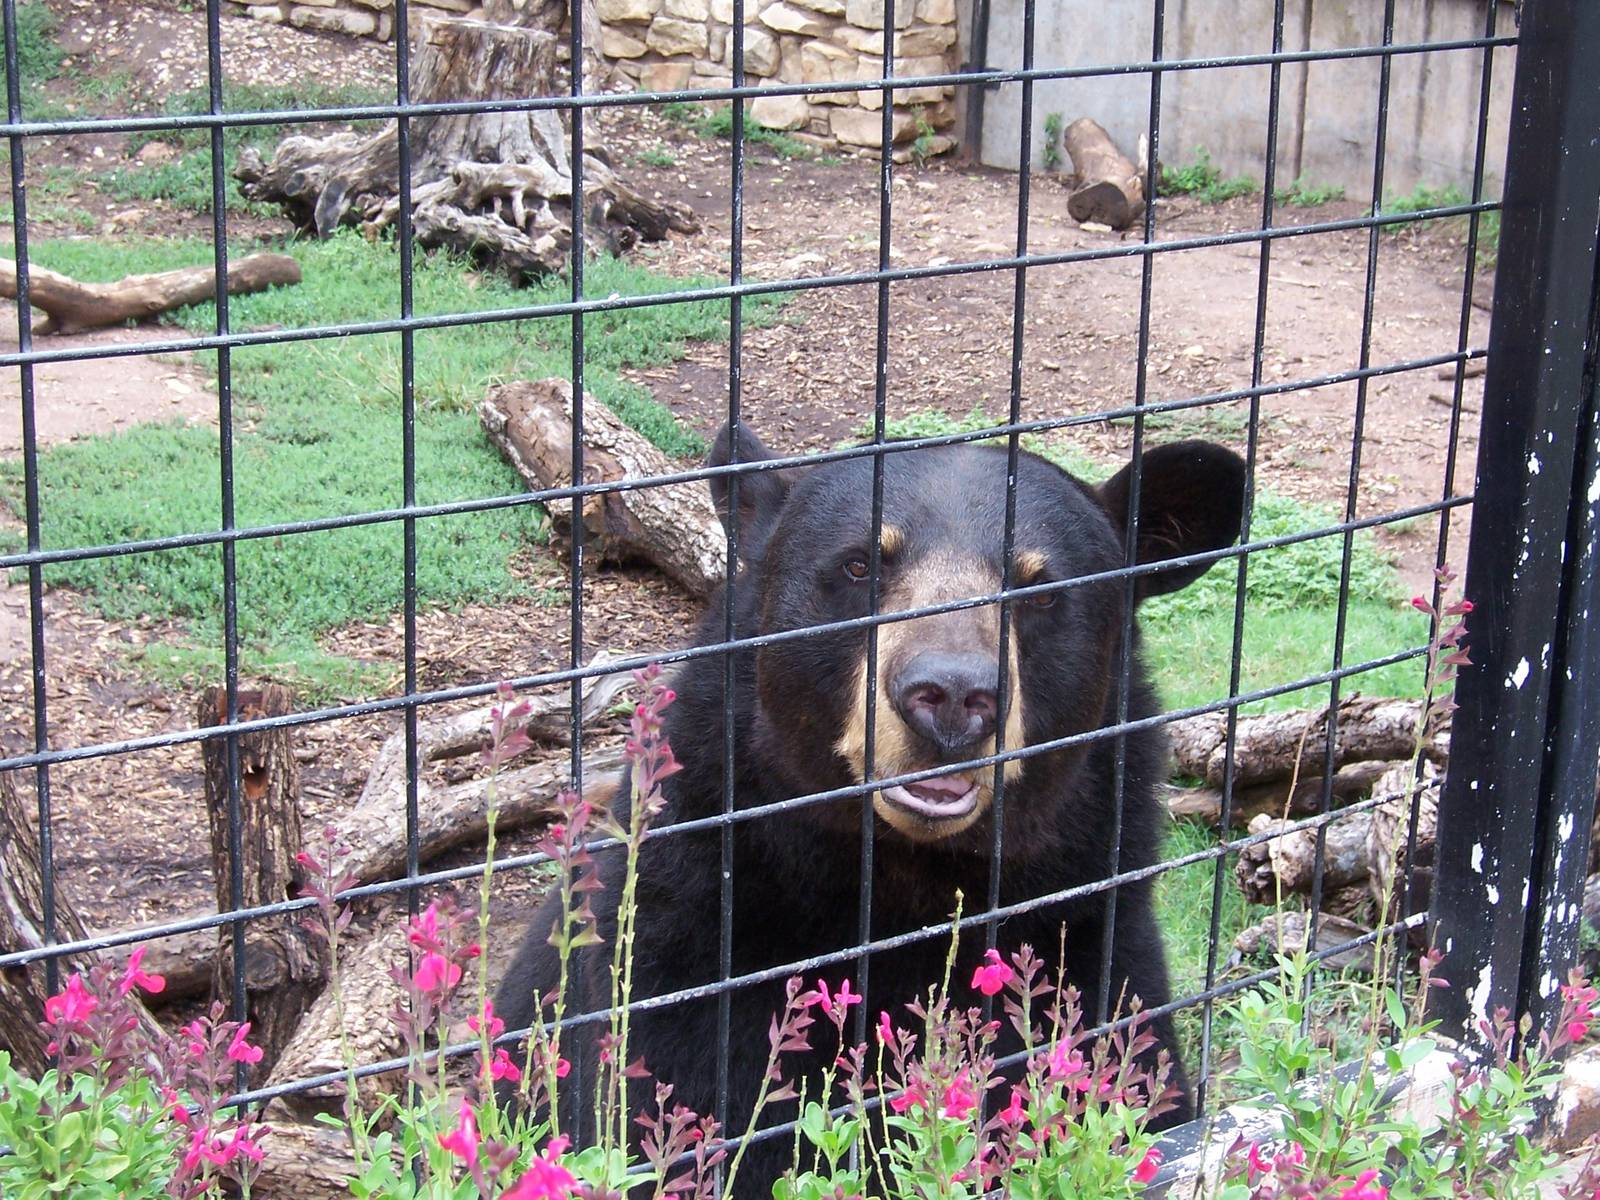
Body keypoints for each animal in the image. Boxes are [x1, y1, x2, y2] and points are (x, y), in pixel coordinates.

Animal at [495, 422, 1247, 1187]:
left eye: (1041, 590)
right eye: (859, 566)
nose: (952, 697)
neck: (904, 882)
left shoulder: (1092, 929)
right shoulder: (687, 946)